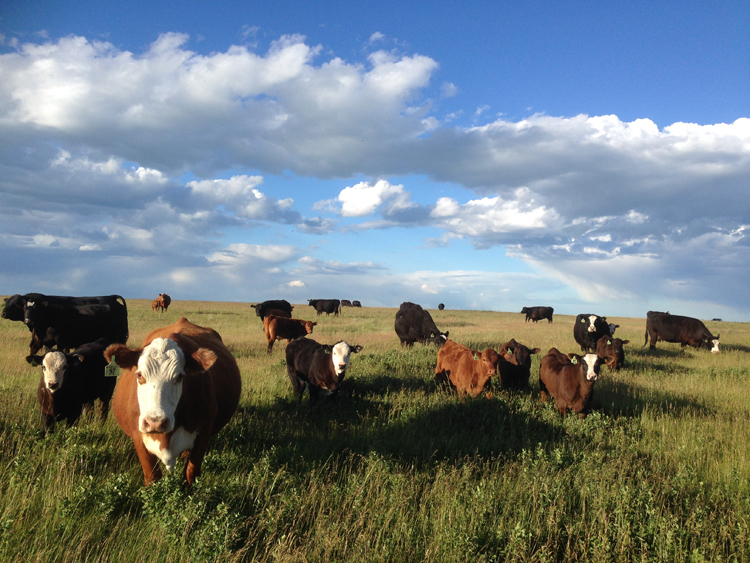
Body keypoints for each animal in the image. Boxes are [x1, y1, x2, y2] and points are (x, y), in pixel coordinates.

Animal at [104, 318, 241, 484]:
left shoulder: (203, 434)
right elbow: (152, 477)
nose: (155, 422)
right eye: (140, 375)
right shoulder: (139, 437)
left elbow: (190, 474)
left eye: (179, 376)